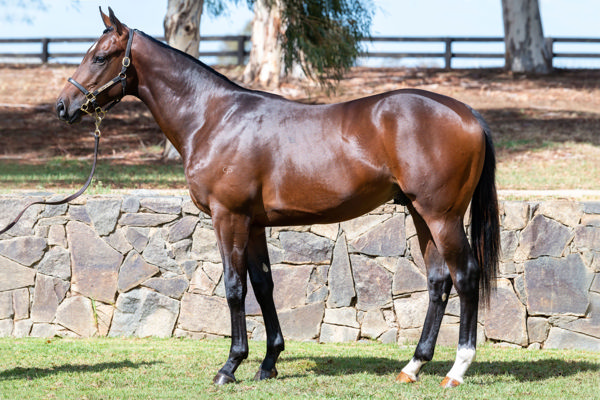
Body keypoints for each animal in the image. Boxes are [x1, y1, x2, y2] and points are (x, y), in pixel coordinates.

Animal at [56, 8, 500, 388]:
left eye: (100, 57)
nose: (64, 106)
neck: (213, 118)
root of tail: (468, 114)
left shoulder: (228, 217)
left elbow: (234, 287)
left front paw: (230, 366)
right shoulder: (253, 224)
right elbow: (263, 285)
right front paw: (268, 362)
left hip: (442, 216)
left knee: (465, 276)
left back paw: (457, 369)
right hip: (421, 215)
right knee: (439, 282)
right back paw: (413, 366)